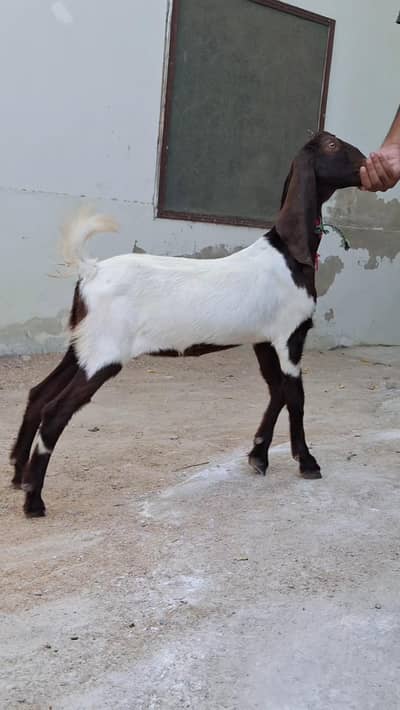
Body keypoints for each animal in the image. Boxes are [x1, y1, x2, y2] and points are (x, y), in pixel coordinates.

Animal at [10, 131, 365, 517]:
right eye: (332, 146)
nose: (367, 164)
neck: (287, 255)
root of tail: (90, 270)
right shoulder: (290, 335)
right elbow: (295, 396)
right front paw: (307, 462)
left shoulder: (262, 339)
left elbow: (277, 392)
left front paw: (258, 455)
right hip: (105, 353)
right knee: (55, 411)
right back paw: (33, 499)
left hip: (83, 345)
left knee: (38, 393)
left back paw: (17, 475)